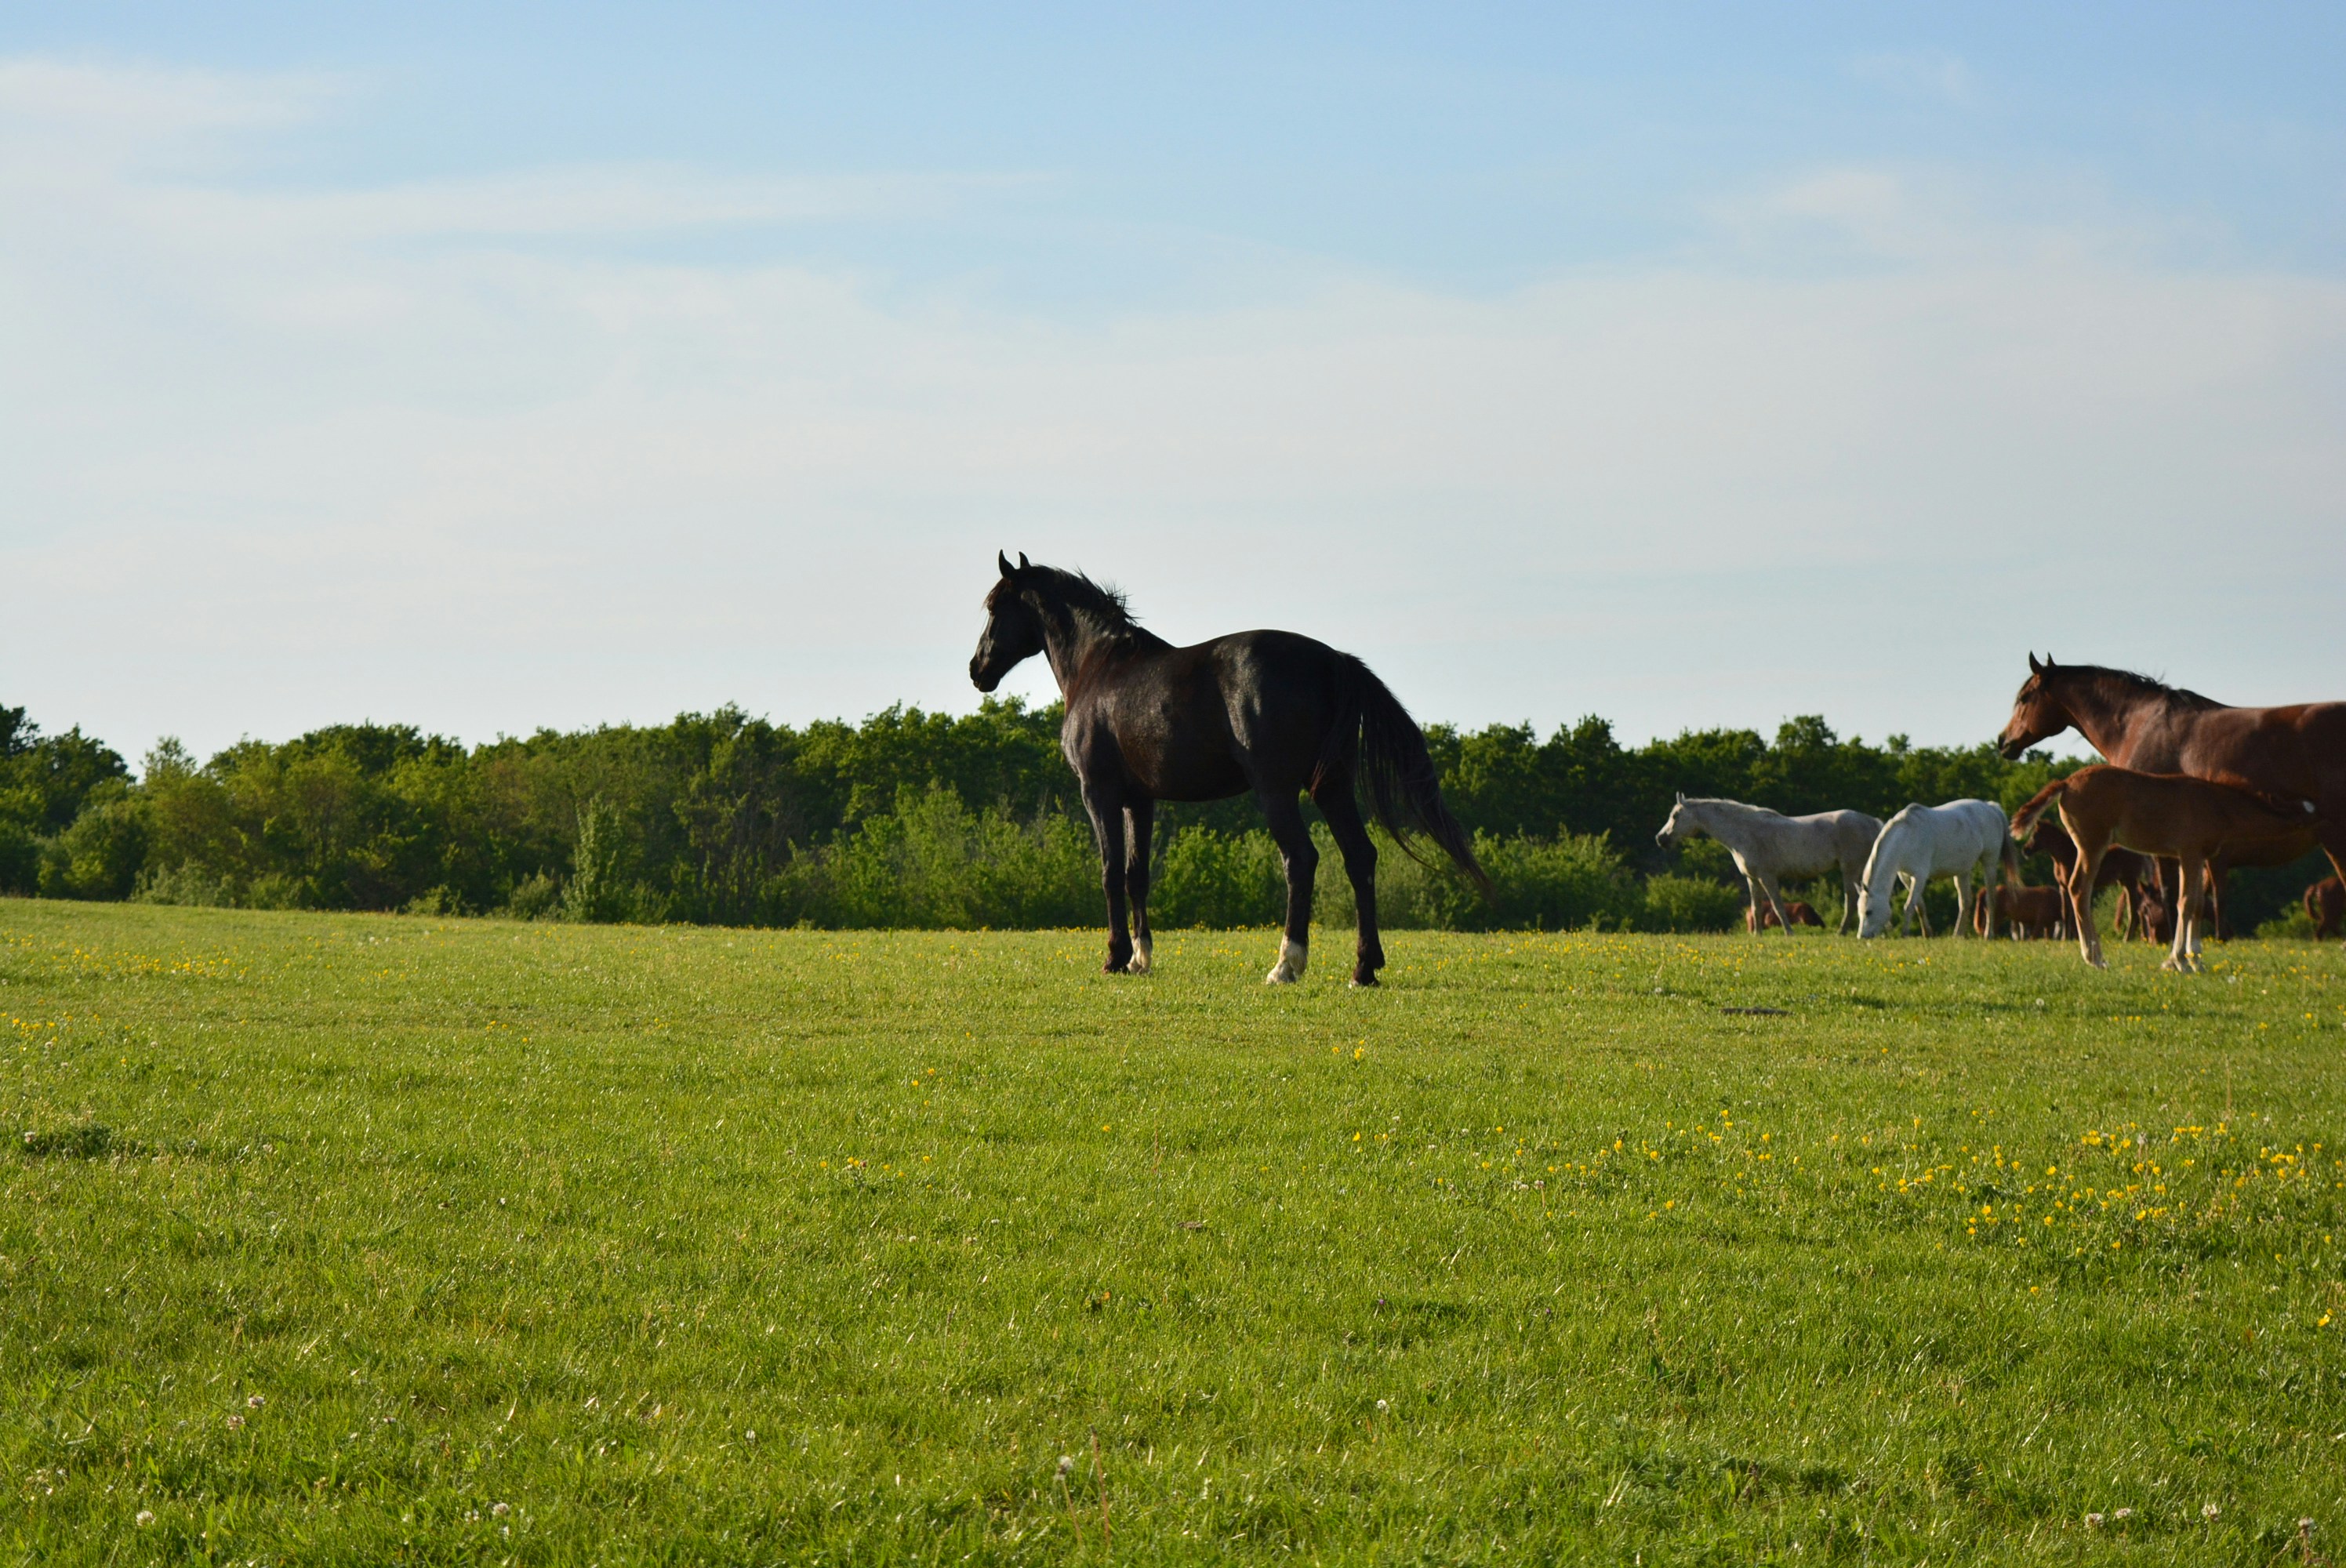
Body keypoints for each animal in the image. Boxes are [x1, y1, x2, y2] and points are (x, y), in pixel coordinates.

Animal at [968, 554, 1485, 985]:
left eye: (994, 607)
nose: (977, 671)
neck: (1100, 668)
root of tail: (1332, 661)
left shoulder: (1099, 793)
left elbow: (1110, 871)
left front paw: (1115, 958)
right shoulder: (1140, 799)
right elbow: (1137, 874)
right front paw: (1140, 960)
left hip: (1277, 789)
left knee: (1301, 860)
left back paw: (1286, 965)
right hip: (1332, 786)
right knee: (1360, 858)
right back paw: (1364, 968)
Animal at [1653, 795, 1881, 935]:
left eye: (1675, 816)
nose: (1660, 839)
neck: (1745, 832)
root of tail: (1872, 821)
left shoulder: (1767, 877)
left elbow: (1778, 906)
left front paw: (1789, 933)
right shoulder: (1752, 879)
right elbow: (1756, 909)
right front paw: (1757, 935)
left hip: (1850, 870)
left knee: (1851, 900)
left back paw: (1841, 932)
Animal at [1856, 800, 2013, 938]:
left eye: (1869, 912)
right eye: (1860, 912)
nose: (1862, 936)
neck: (1906, 836)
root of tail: (1991, 807)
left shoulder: (1919, 876)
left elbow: (1909, 905)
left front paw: (1905, 934)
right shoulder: (1906, 877)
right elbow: (1920, 906)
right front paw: (1927, 934)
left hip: (1989, 863)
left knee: (1990, 899)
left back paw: (1989, 935)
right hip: (1962, 871)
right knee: (1965, 901)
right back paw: (1957, 935)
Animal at [2021, 818, 2147, 940]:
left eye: (2035, 834)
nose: (2025, 850)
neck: (2064, 857)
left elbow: (2072, 913)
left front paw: (2072, 938)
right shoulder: (2063, 887)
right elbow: (2065, 913)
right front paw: (2066, 938)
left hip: (2131, 882)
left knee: (2134, 908)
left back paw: (2128, 938)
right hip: (2125, 883)